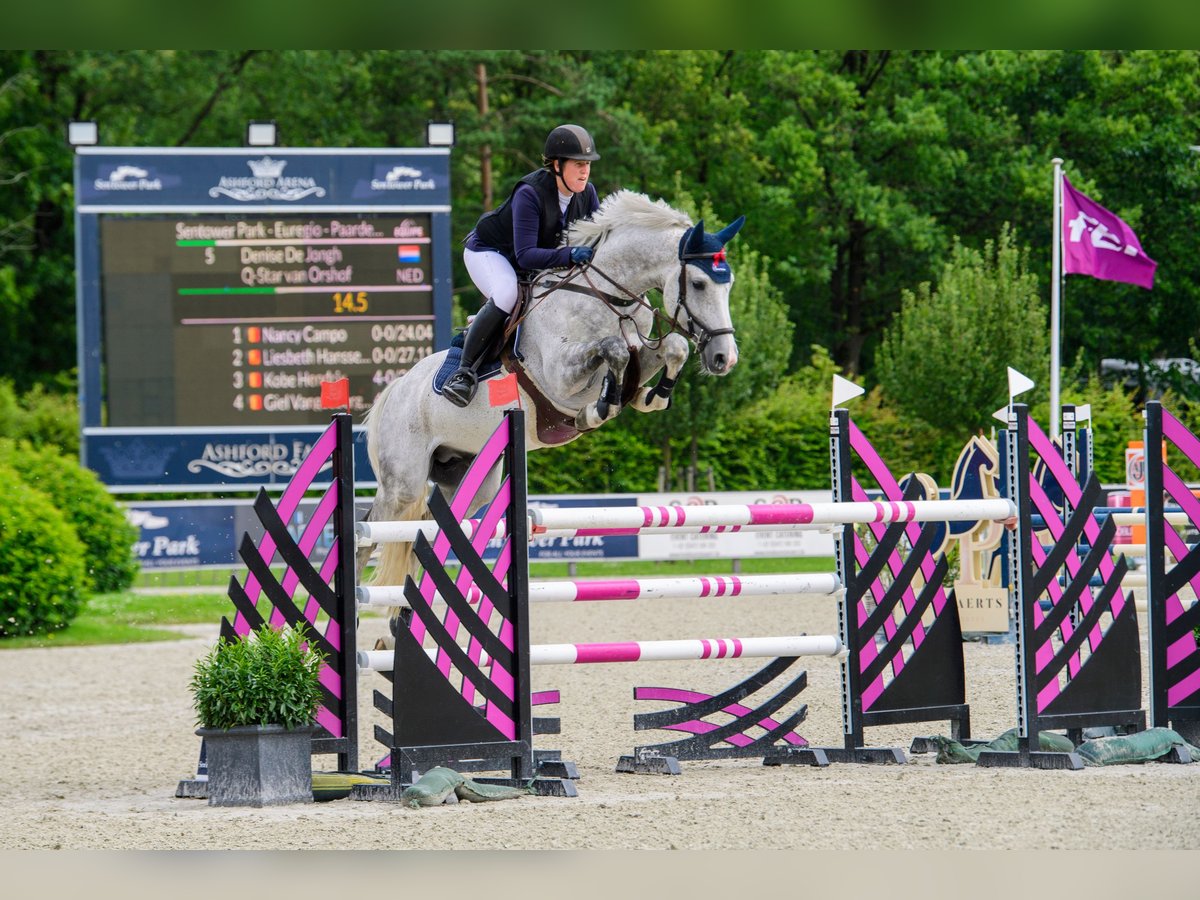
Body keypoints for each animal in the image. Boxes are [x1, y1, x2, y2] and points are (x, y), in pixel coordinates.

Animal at [360, 189, 744, 595]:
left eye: (729, 285)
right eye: (699, 284)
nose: (724, 358)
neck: (607, 298)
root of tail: (394, 390)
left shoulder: (642, 350)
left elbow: (672, 347)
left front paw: (651, 396)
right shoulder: (561, 376)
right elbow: (614, 351)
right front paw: (599, 409)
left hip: (471, 480)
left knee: (429, 535)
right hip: (402, 482)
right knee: (368, 533)